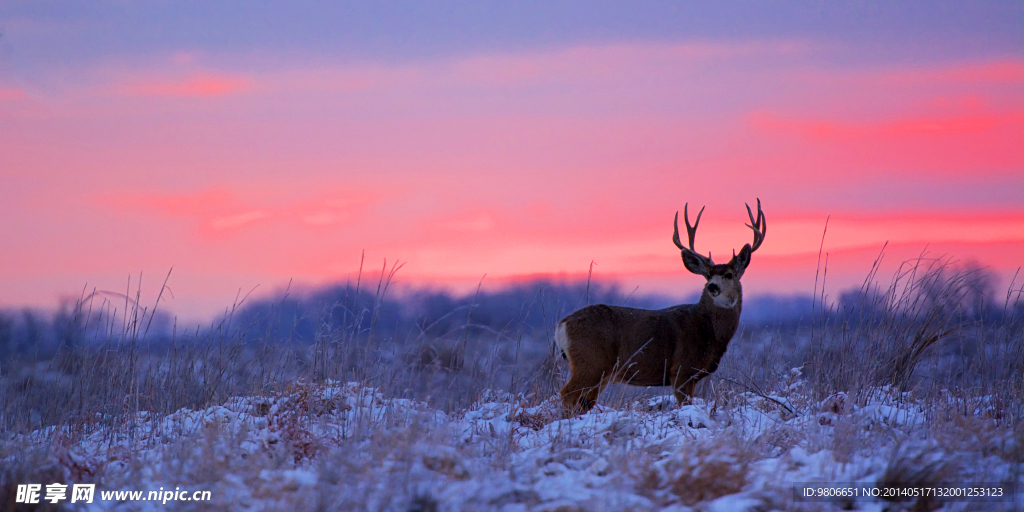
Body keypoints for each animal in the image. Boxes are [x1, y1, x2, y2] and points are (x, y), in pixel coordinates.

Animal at [557, 199, 765, 415]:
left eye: (729, 275)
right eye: (708, 275)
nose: (712, 287)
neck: (708, 330)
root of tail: (562, 324)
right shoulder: (682, 369)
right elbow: (685, 403)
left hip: (598, 371)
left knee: (583, 402)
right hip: (591, 362)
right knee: (567, 393)